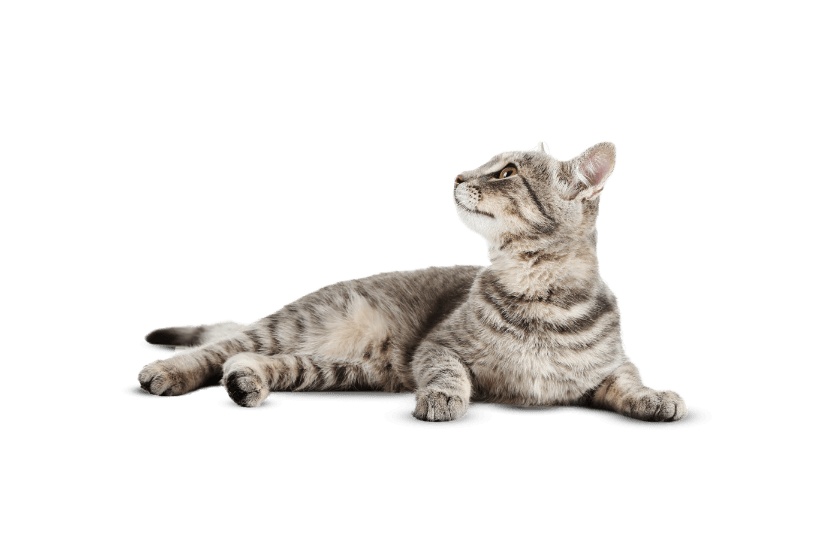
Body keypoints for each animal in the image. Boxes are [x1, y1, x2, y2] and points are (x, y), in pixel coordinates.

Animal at [138, 139, 688, 420]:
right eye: (489, 164)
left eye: (506, 173)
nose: (460, 175)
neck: (539, 295)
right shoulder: (437, 347)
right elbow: (448, 371)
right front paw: (444, 396)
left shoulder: (612, 365)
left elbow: (628, 378)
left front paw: (655, 396)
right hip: (297, 327)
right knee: (215, 349)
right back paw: (166, 373)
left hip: (342, 369)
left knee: (249, 360)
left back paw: (246, 382)